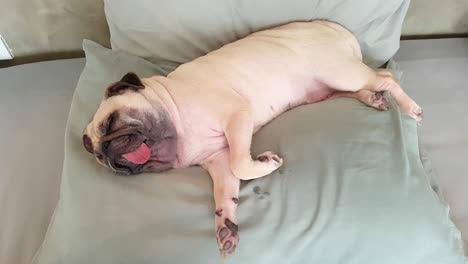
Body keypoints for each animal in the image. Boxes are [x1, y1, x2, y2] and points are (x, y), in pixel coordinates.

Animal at [82, 20, 422, 258]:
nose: (109, 153)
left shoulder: (237, 118)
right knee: (362, 89)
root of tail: (334, 29)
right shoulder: (217, 162)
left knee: (385, 78)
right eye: (96, 156)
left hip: (339, 72)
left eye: (113, 122)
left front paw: (268, 163)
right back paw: (373, 99)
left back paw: (408, 107)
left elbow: (241, 163)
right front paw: (225, 226)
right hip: (328, 88)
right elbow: (224, 195)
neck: (174, 115)